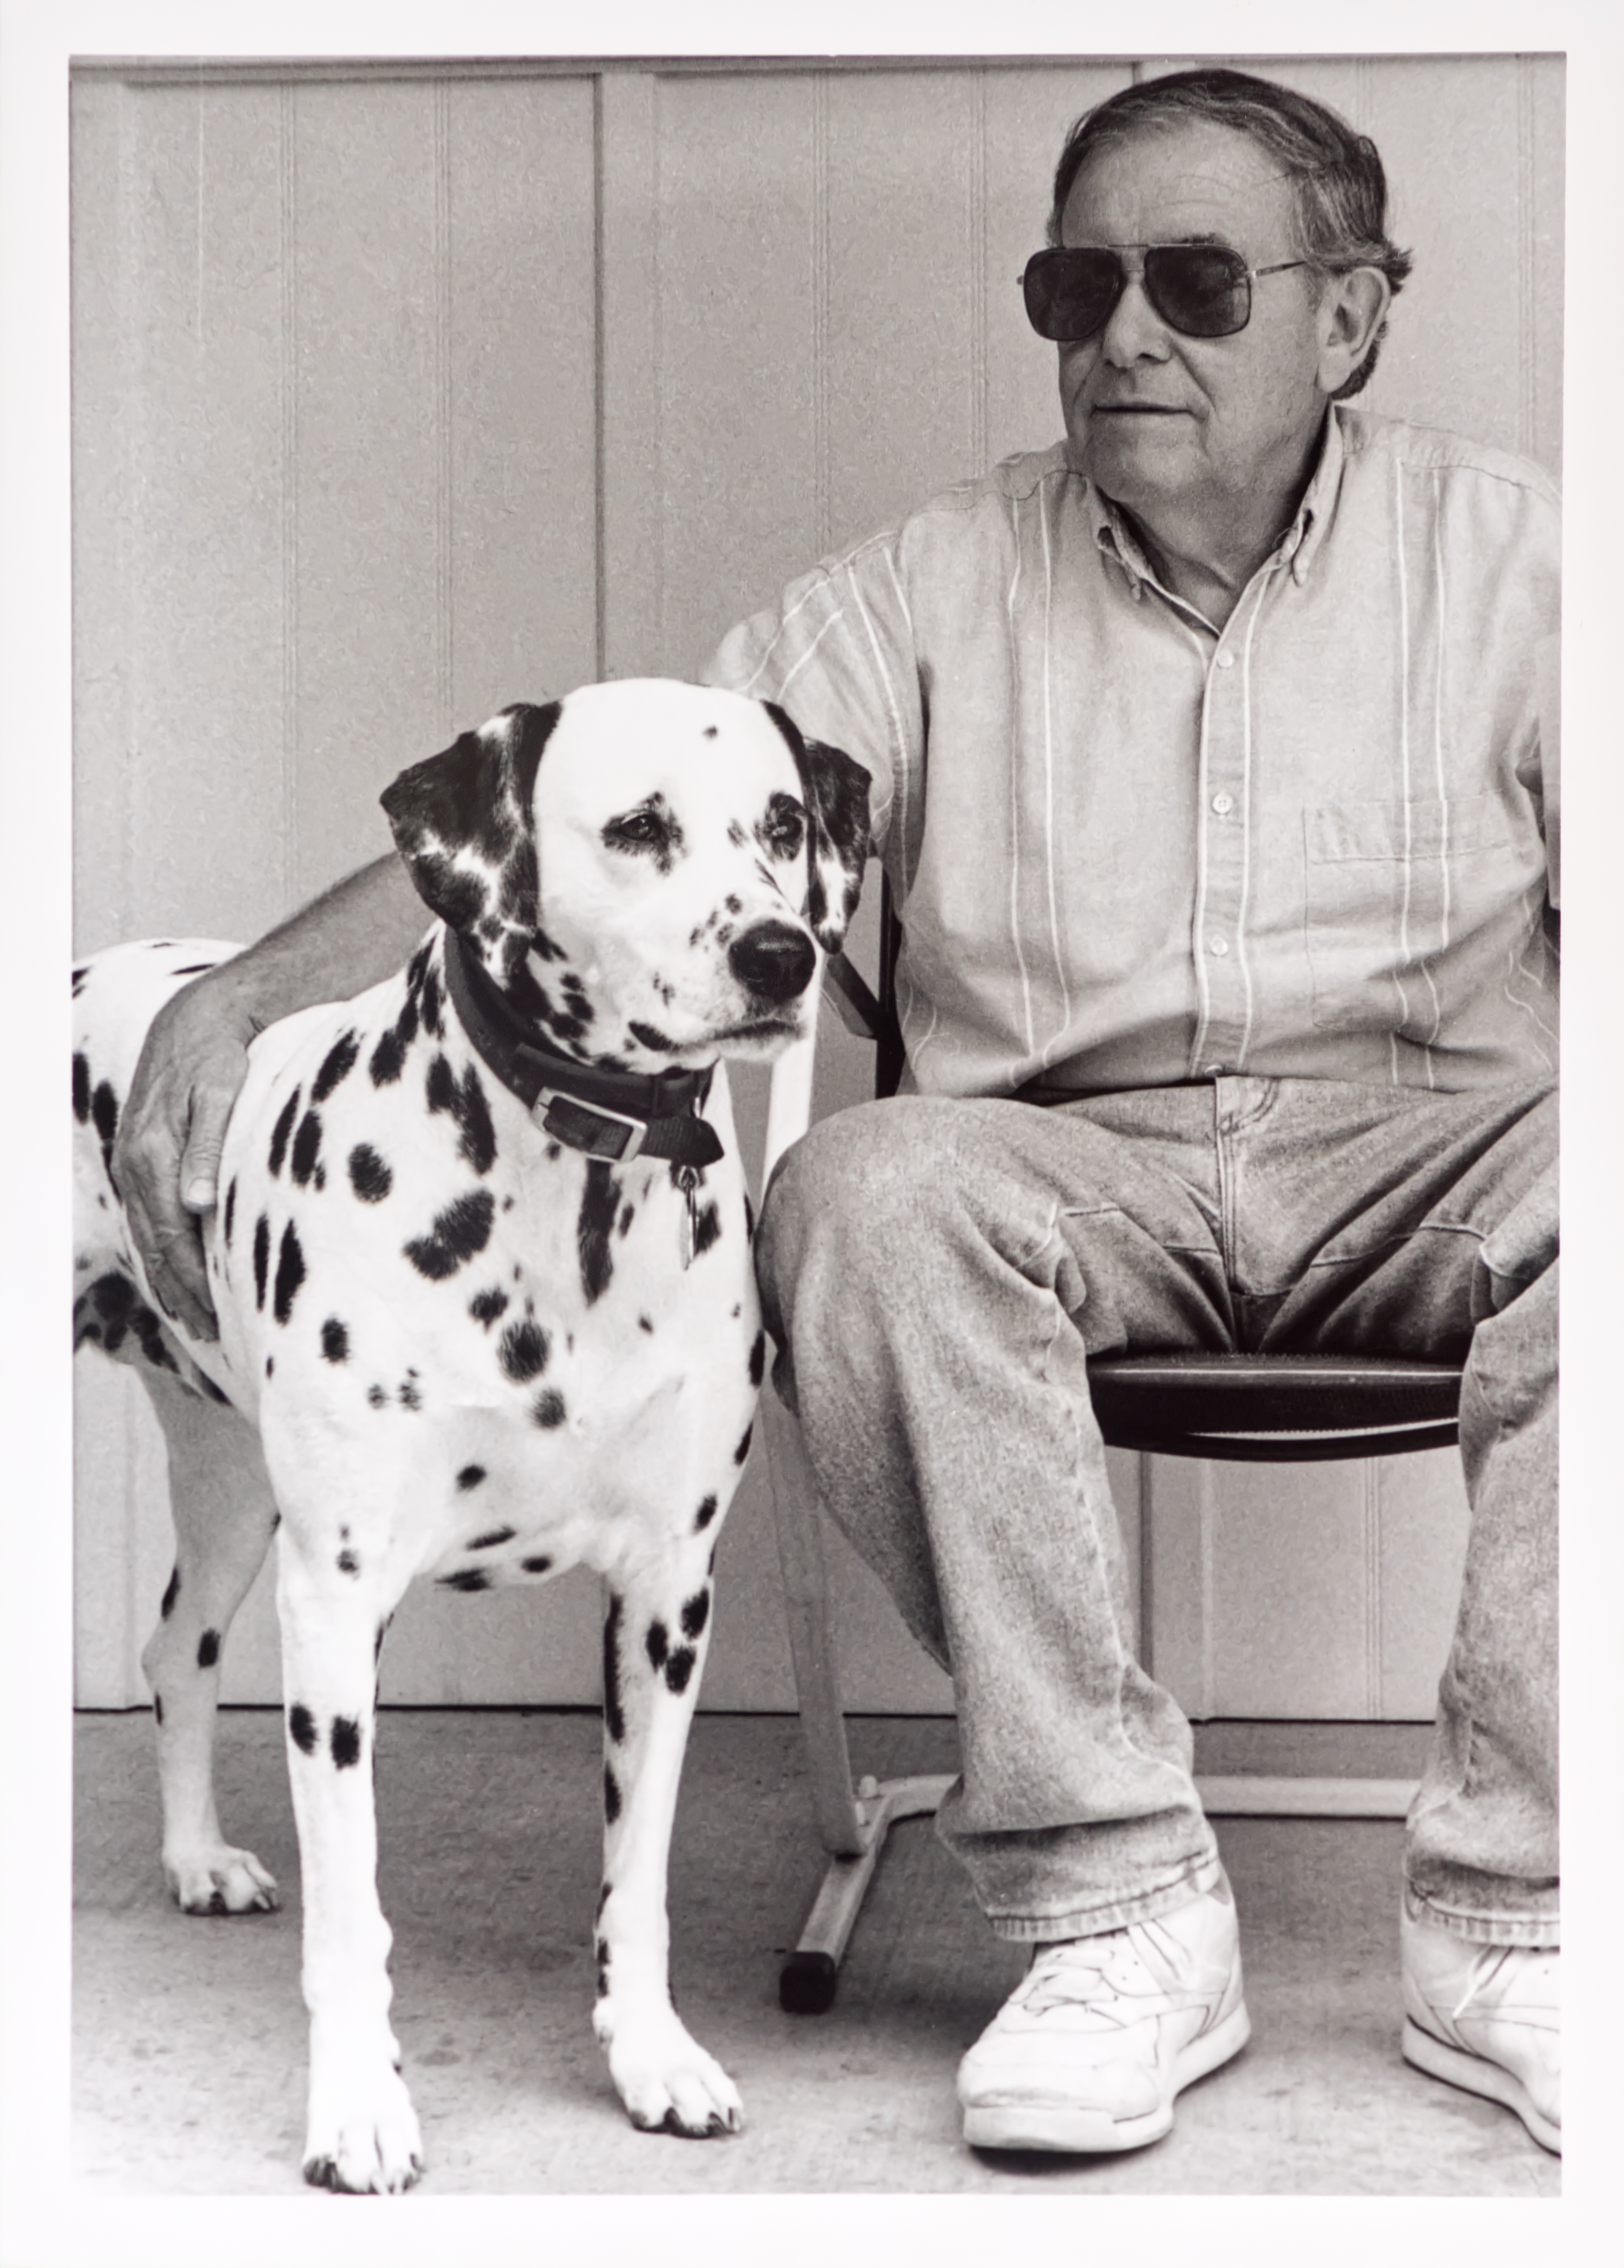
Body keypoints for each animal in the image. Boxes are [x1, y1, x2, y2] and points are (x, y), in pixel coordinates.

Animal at [73, 675, 875, 2195]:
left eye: (786, 822)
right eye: (637, 827)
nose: (779, 954)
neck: (572, 1195)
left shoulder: (667, 1602)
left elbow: (637, 1874)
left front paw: (650, 2054)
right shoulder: (339, 1607)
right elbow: (354, 1918)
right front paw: (358, 2108)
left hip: (228, 1488)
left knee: (175, 1649)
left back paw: (199, 1857)